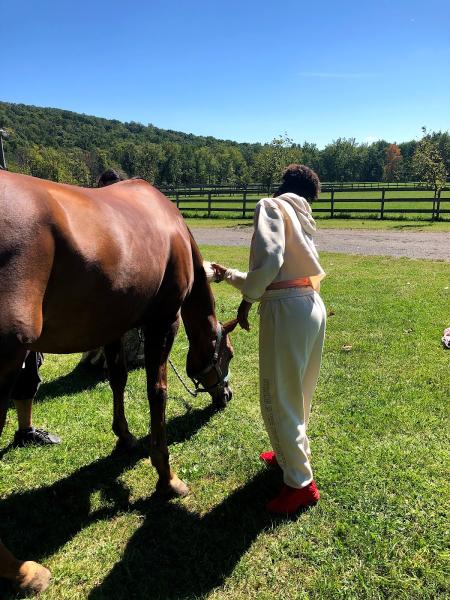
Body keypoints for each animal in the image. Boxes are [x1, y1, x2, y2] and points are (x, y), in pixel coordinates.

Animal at [0, 170, 237, 596]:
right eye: (226, 353)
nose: (225, 395)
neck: (173, 230)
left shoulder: (112, 325)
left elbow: (118, 379)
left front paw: (124, 437)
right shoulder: (163, 323)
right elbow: (156, 393)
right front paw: (167, 478)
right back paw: (21, 572)